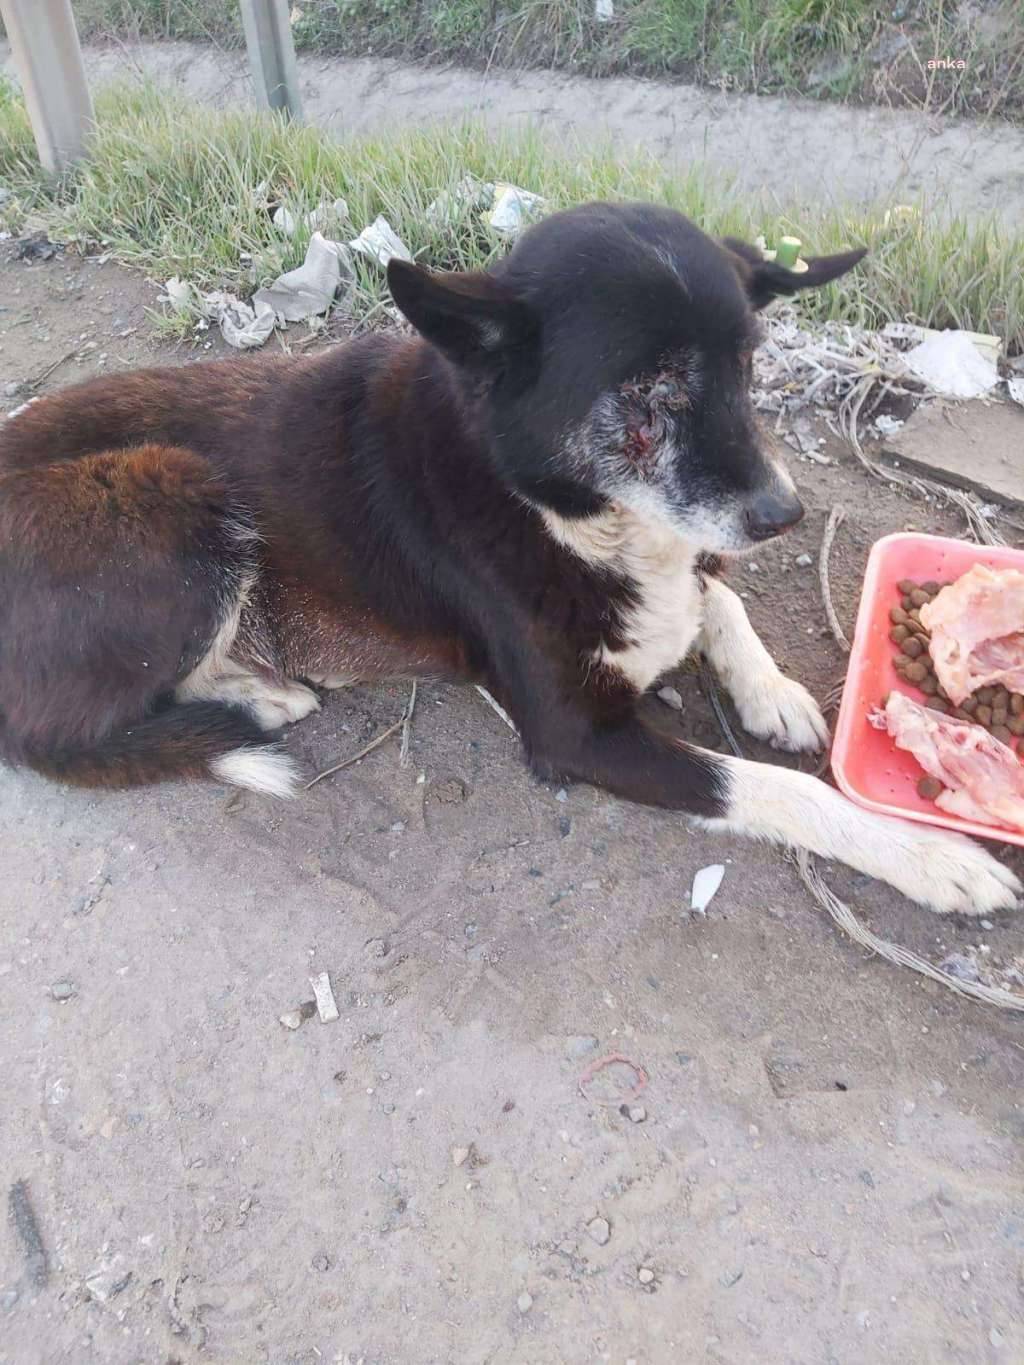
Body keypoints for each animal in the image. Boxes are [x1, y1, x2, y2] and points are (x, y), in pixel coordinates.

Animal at [0, 202, 1021, 917]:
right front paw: (932, 857)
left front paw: (769, 688)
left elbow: (712, 595)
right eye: (650, 392)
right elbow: (773, 786)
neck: (553, 506)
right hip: (172, 491)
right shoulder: (575, 735)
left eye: (748, 367)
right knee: (75, 726)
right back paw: (255, 698)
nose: (785, 513)